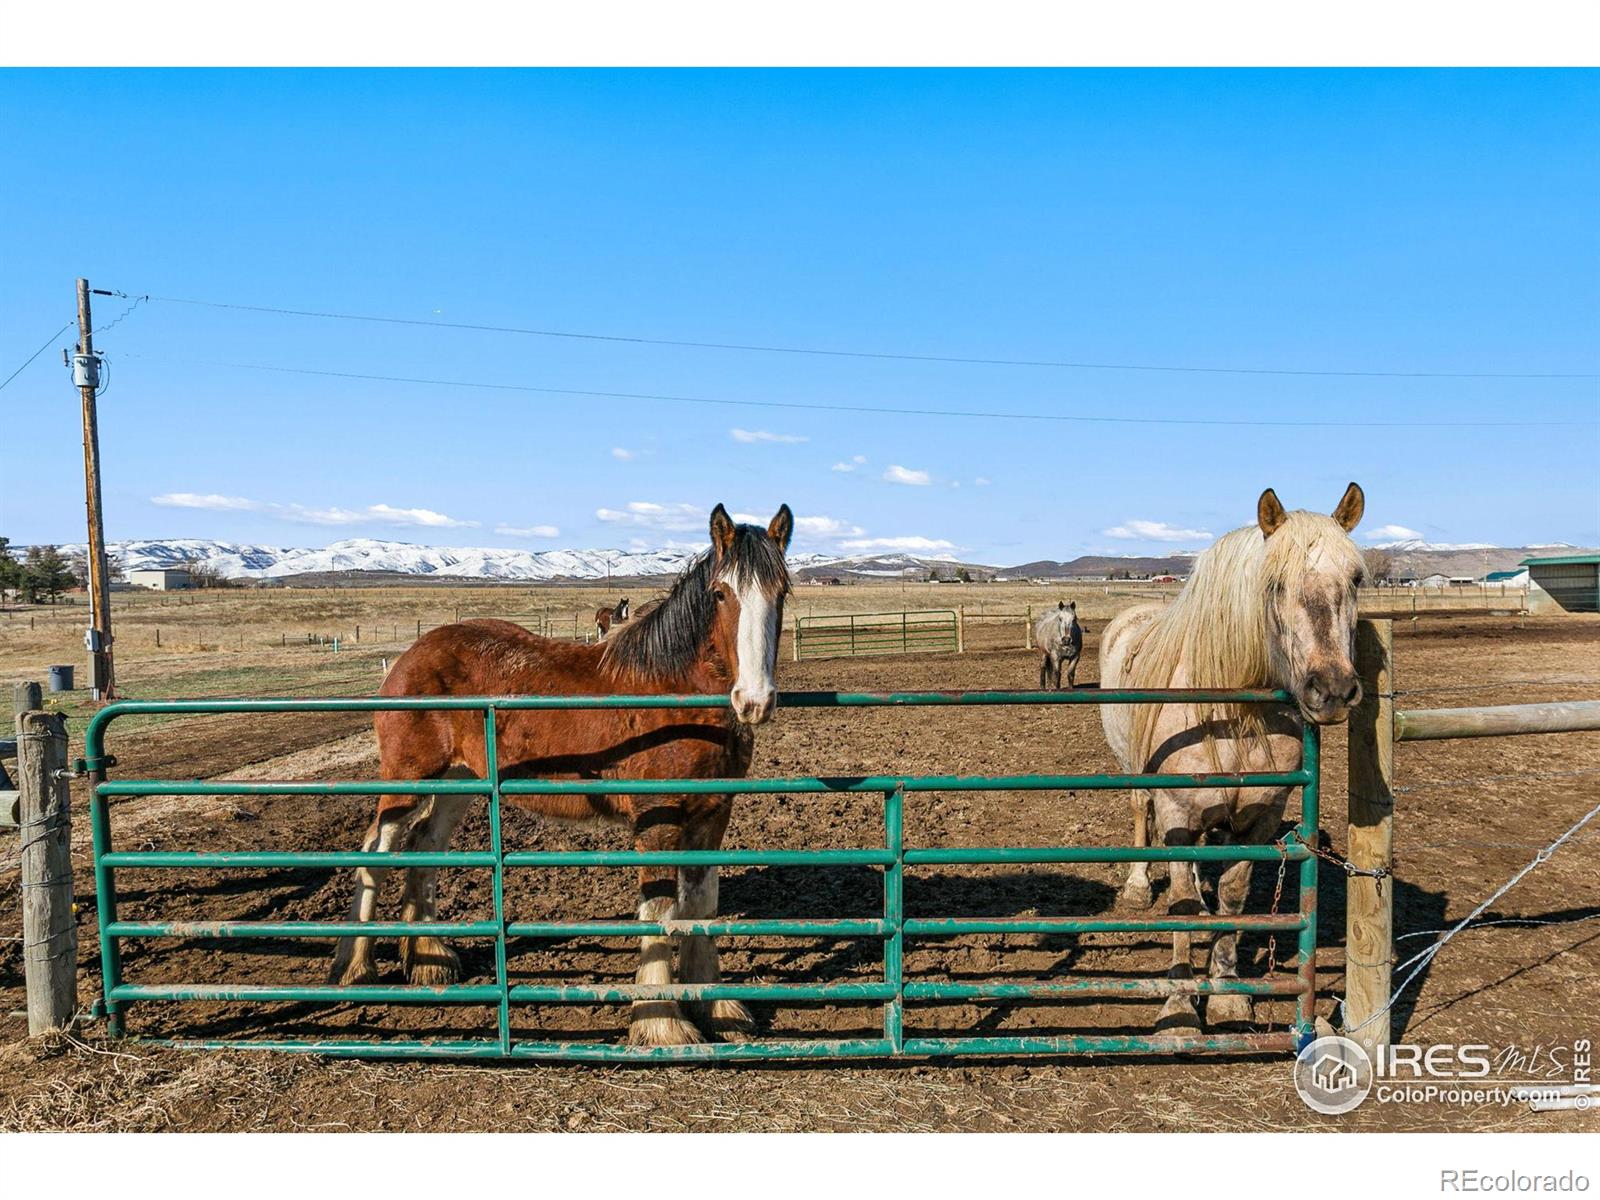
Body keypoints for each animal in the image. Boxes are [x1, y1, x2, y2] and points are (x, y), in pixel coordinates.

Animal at [329, 502, 793, 1049]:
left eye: (781, 593)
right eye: (721, 594)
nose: (754, 701)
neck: (674, 691)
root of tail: (411, 655)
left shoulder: (712, 814)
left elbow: (700, 907)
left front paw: (716, 1008)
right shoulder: (657, 821)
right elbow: (660, 912)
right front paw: (661, 1022)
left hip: (460, 781)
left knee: (425, 845)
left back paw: (429, 961)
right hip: (409, 777)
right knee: (378, 851)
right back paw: (354, 967)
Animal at [1100, 483, 1363, 1036]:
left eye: (1355, 579)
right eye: (1274, 584)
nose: (1332, 689)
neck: (1232, 716)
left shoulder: (1259, 819)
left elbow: (1235, 894)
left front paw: (1227, 998)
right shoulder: (1177, 816)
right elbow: (1178, 903)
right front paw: (1179, 1010)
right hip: (1136, 775)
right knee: (1140, 816)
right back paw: (1137, 886)